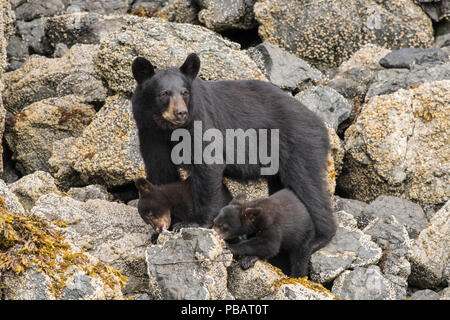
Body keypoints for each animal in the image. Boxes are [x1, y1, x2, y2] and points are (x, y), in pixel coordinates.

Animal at [130, 53, 334, 252]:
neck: (167, 129)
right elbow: (160, 170)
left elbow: (208, 164)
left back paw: (319, 238)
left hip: (300, 144)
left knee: (309, 187)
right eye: (164, 93)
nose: (181, 113)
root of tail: (321, 124)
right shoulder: (150, 134)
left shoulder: (200, 123)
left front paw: (195, 222)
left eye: (185, 92)